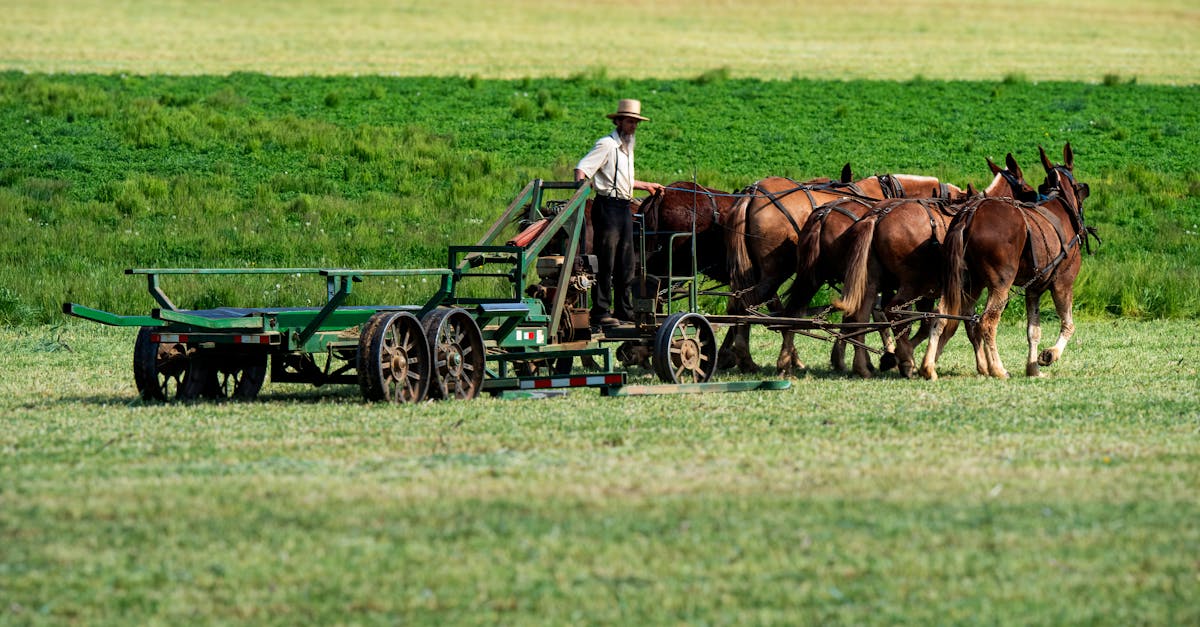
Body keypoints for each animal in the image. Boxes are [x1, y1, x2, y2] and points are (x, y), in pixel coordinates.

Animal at [721, 171, 963, 374]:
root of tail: (753, 192)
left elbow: (861, 315)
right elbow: (876, 315)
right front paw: (885, 356)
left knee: (750, 305)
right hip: (776, 271)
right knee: (750, 306)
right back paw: (747, 357)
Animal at [832, 155, 1040, 378]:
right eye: (1027, 188)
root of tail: (877, 215)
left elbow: (955, 323)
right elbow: (954, 323)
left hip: (872, 281)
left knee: (860, 315)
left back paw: (863, 365)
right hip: (912, 283)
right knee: (892, 311)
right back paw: (905, 360)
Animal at [919, 144, 1094, 380]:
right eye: (1079, 188)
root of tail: (969, 215)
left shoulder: (1033, 290)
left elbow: (1033, 331)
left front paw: (1033, 369)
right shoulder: (1063, 284)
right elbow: (1068, 325)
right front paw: (1050, 355)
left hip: (964, 282)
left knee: (941, 316)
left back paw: (928, 366)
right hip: (1000, 284)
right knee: (986, 322)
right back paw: (997, 369)